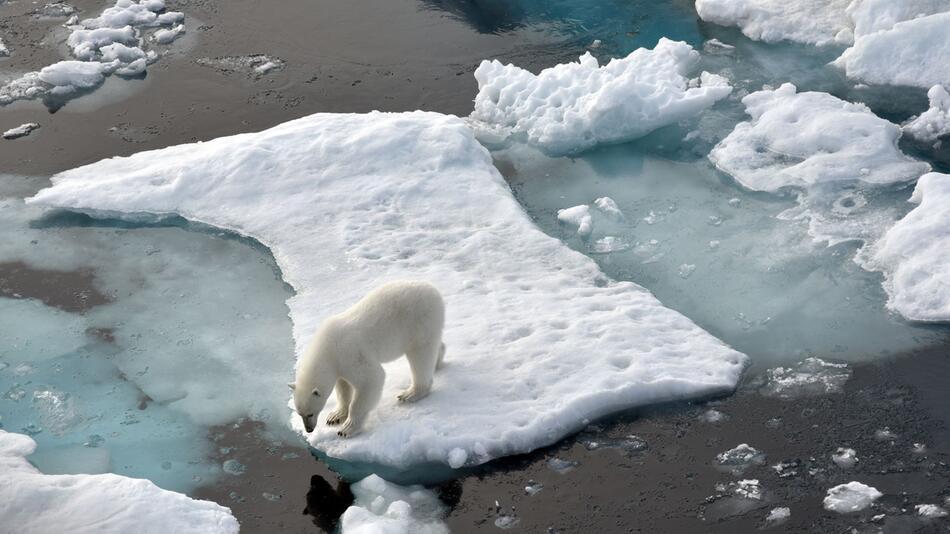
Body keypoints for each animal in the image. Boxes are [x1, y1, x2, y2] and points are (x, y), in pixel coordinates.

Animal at [290, 282, 446, 438]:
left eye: (310, 413)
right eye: (299, 413)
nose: (309, 429)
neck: (327, 348)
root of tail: (434, 291)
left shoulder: (350, 352)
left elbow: (371, 379)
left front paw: (347, 428)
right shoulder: (339, 364)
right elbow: (343, 387)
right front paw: (335, 416)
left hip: (420, 321)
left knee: (420, 356)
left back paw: (410, 393)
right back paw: (437, 361)